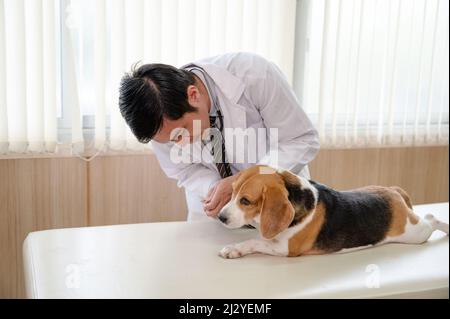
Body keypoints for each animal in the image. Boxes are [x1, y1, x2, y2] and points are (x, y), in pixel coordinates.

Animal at [217, 166, 446, 258]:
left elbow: (254, 241)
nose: (221, 217)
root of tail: (393, 191)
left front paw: (234, 249)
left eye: (245, 201)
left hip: (414, 233)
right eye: (232, 191)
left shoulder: (285, 248)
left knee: (432, 219)